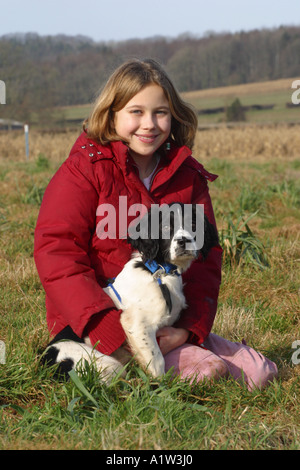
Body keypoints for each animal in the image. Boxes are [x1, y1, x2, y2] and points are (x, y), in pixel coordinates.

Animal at [41, 202, 217, 382]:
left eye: (194, 225)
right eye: (166, 227)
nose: (184, 241)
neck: (160, 272)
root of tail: (46, 360)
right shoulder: (137, 324)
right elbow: (156, 360)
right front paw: (161, 386)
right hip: (105, 363)